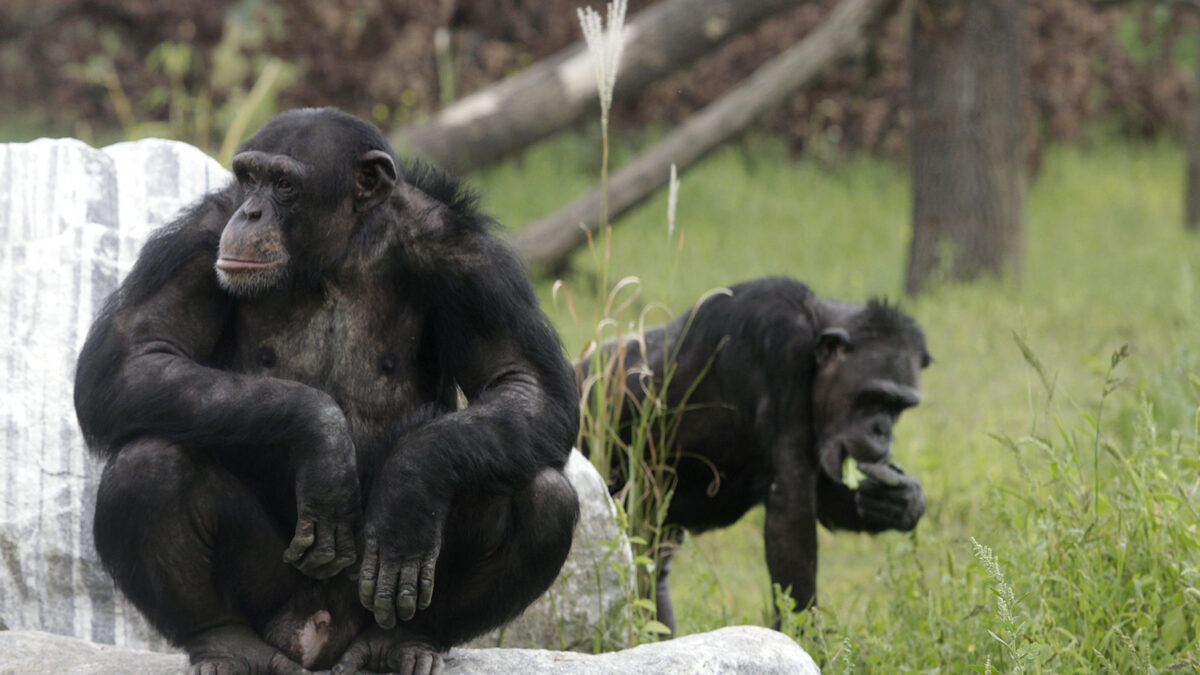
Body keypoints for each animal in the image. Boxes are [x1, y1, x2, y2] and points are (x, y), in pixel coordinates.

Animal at [73, 106, 580, 672]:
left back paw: (403, 641)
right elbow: (132, 358)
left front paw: (410, 489)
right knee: (148, 466)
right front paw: (322, 438)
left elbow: (525, 382)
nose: (250, 213)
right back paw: (224, 642)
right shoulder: (199, 239)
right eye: (249, 177)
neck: (338, 254)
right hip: (274, 599)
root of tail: (319, 639)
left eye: (284, 184)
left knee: (543, 495)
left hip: (371, 604)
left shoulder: (471, 257)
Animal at [578, 275, 926, 629]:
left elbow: (822, 496)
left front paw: (902, 500)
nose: (882, 430)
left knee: (650, 567)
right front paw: (803, 635)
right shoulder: (780, 346)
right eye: (873, 397)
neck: (815, 330)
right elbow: (791, 512)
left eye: (898, 407)